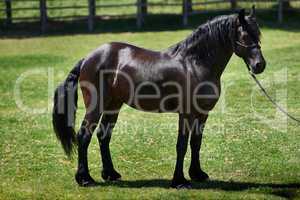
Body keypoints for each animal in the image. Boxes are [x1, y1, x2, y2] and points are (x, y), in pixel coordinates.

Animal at [52, 7, 266, 189]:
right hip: (96, 106)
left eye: (258, 34)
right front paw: (179, 181)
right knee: (84, 135)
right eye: (245, 35)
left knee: (103, 135)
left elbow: (196, 143)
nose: (259, 65)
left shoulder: (203, 113)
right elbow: (182, 145)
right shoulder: (186, 113)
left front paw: (197, 174)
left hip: (114, 105)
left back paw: (110, 174)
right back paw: (85, 179)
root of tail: (88, 58)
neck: (194, 63)